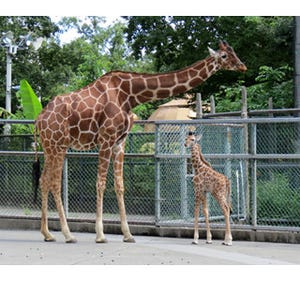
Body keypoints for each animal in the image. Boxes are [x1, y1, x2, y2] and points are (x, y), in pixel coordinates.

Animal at [34, 40, 246, 242]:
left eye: (235, 52)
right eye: (225, 55)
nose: (242, 66)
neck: (130, 95)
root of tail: (39, 118)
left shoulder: (119, 141)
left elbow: (119, 185)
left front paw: (128, 235)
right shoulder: (106, 138)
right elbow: (100, 183)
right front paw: (100, 235)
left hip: (49, 147)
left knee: (44, 180)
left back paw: (47, 233)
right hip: (59, 145)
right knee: (55, 183)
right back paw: (68, 234)